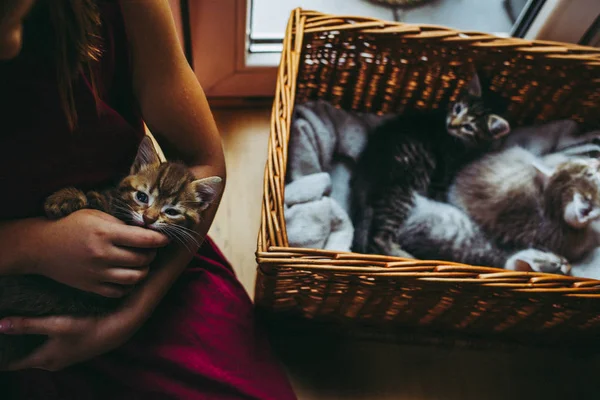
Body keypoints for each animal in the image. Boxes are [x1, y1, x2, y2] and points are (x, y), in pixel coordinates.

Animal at [352, 72, 510, 258]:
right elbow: (440, 194)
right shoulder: (442, 173)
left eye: (468, 127)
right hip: (402, 194)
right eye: (458, 109)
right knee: (378, 240)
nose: (452, 124)